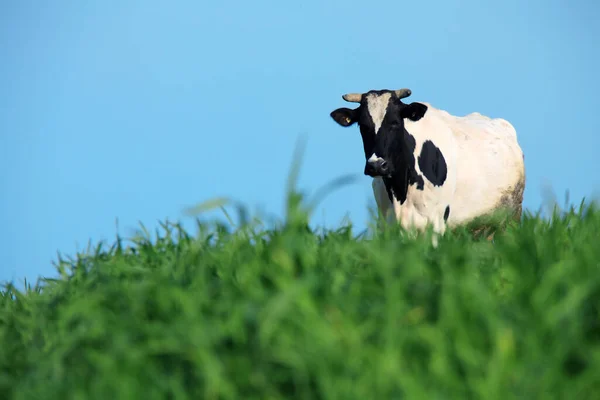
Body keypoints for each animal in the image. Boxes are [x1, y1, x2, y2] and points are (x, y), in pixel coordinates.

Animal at [328, 88, 524, 242]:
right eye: (362, 126)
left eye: (395, 123)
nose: (377, 165)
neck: (401, 193)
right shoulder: (388, 226)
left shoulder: (436, 225)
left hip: (512, 218)